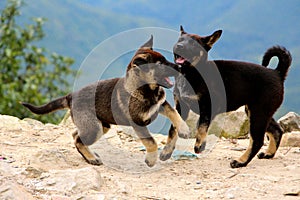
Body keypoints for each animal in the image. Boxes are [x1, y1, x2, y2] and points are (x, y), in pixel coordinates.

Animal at [22, 36, 190, 167]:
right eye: (160, 64)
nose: (180, 67)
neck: (146, 90)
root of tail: (70, 96)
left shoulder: (161, 105)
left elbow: (174, 113)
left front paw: (184, 129)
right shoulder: (138, 123)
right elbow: (151, 141)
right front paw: (151, 160)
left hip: (101, 125)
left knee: (76, 134)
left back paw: (91, 155)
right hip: (94, 128)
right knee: (78, 140)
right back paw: (91, 159)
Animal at [161, 25, 292, 168]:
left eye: (193, 44)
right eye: (180, 40)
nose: (179, 46)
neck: (190, 73)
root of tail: (277, 73)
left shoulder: (208, 106)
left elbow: (201, 125)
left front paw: (200, 144)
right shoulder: (181, 107)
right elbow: (173, 129)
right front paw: (167, 151)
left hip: (259, 113)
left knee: (257, 140)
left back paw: (241, 161)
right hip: (258, 112)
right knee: (277, 130)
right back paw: (268, 154)